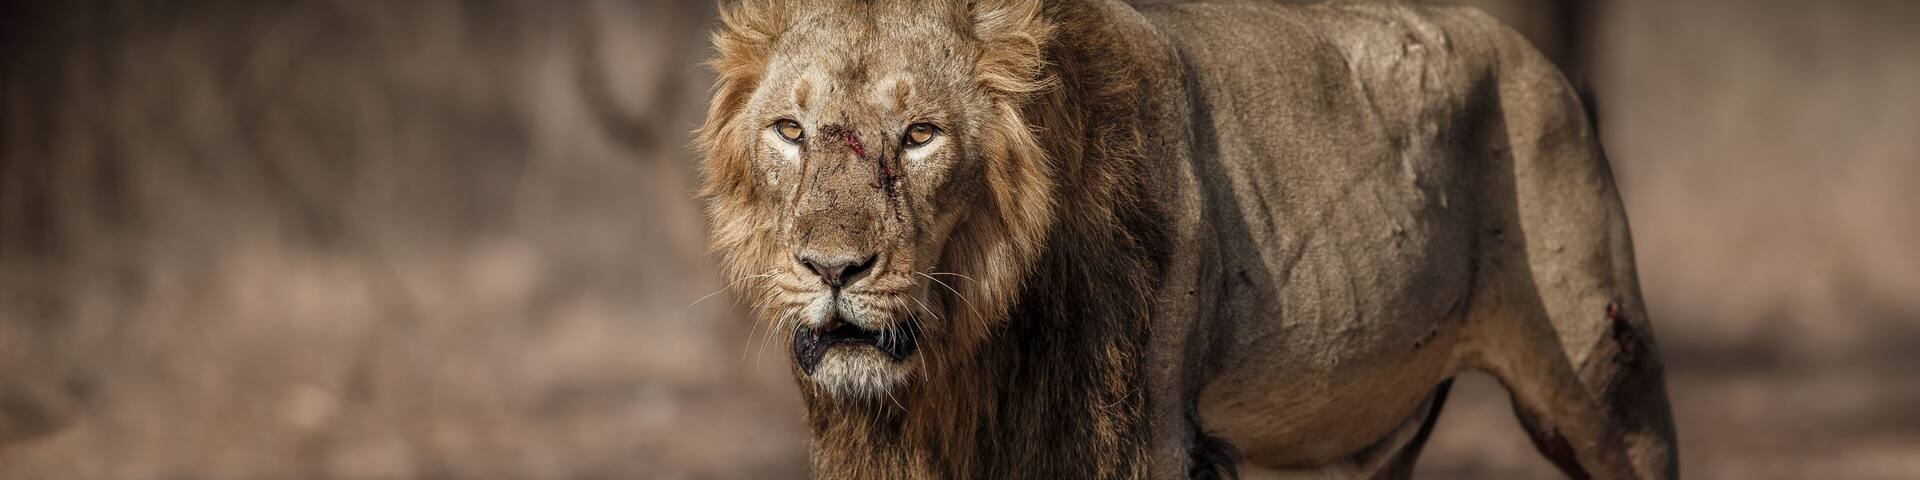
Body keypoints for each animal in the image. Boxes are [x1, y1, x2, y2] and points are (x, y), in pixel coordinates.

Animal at [695, 0, 1678, 478]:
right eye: (791, 131)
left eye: (922, 135)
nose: (830, 268)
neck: (970, 354)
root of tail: (1545, 63)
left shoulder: (1144, 443)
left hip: (1606, 386)